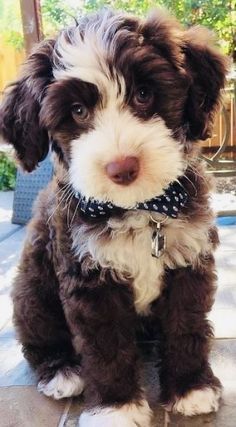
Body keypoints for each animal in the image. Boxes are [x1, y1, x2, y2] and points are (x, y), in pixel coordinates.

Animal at [0, 8, 229, 426]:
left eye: (144, 93)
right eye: (77, 111)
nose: (122, 167)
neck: (138, 208)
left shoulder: (189, 261)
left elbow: (185, 325)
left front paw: (190, 388)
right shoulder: (89, 279)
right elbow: (105, 346)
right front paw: (115, 408)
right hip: (31, 293)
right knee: (39, 341)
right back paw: (62, 372)